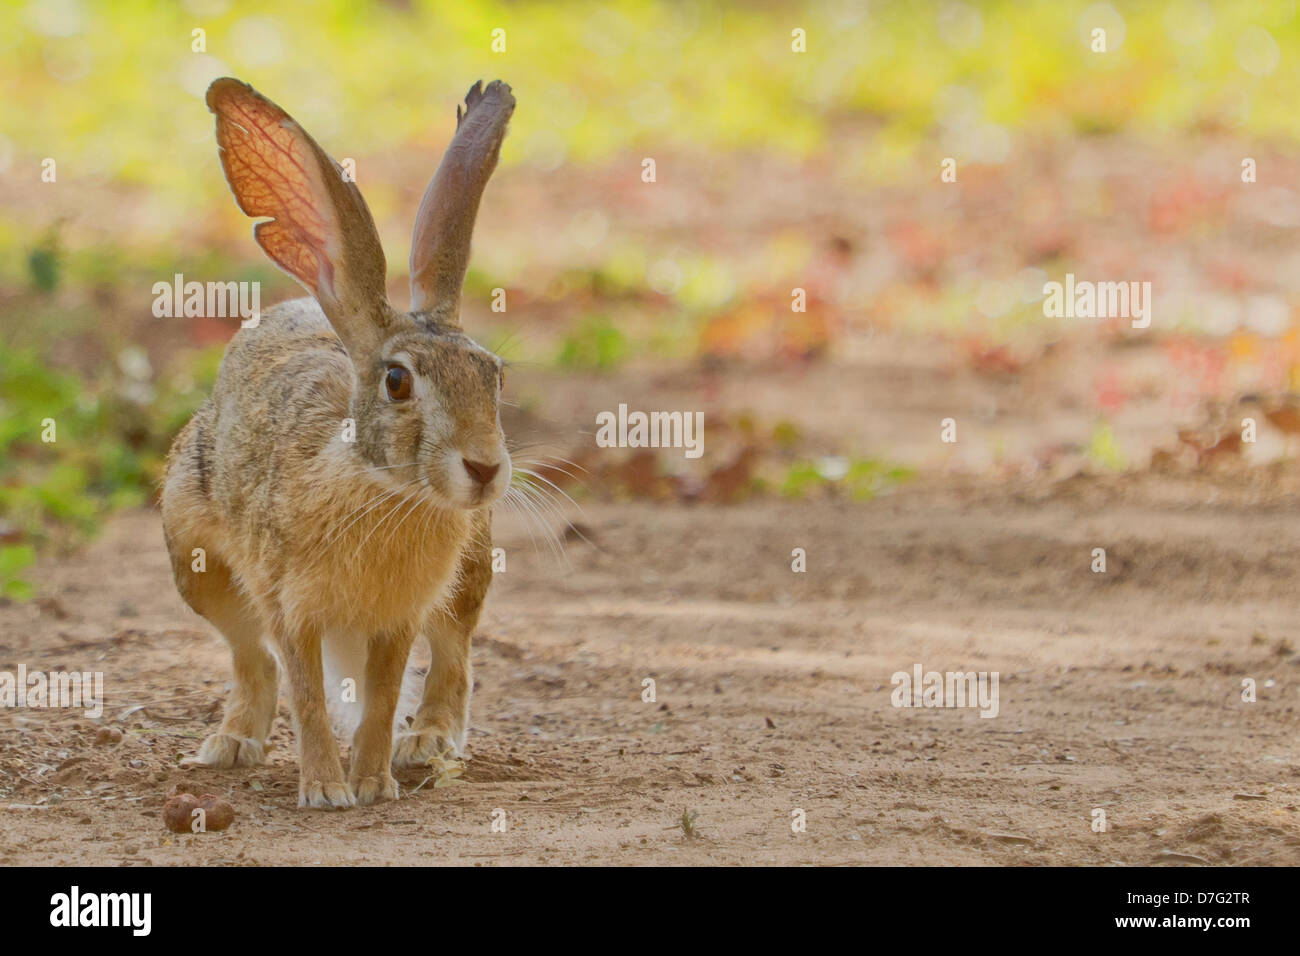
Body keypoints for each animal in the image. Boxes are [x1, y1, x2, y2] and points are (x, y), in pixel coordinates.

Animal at [160, 76, 515, 808]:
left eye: (495, 375)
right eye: (397, 381)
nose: (486, 469)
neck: (382, 486)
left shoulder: (400, 616)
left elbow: (382, 697)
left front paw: (374, 784)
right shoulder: (289, 606)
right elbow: (307, 695)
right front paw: (326, 791)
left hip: (469, 570)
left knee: (455, 657)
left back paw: (429, 743)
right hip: (195, 559)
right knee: (251, 656)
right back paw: (229, 745)